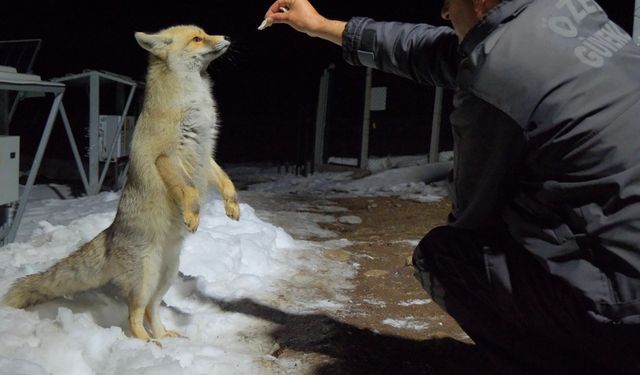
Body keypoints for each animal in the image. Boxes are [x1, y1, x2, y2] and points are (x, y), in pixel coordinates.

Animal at [2, 25, 240, 342]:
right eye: (198, 38)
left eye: (204, 34)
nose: (227, 37)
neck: (191, 100)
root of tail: (111, 232)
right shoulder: (166, 155)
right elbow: (189, 190)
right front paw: (192, 215)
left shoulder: (205, 155)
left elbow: (225, 181)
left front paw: (232, 205)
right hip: (145, 280)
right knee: (134, 316)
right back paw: (146, 344)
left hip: (165, 277)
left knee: (152, 311)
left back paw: (163, 337)